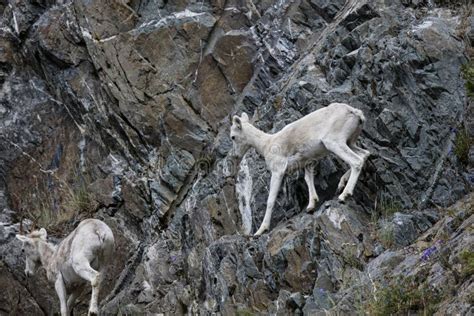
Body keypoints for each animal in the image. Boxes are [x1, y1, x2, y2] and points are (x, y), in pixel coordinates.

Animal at [230, 102, 370, 236]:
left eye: (233, 137)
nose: (235, 156)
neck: (266, 144)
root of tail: (356, 113)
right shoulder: (308, 162)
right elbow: (308, 180)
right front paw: (311, 206)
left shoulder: (278, 171)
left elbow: (270, 200)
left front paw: (260, 231)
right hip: (350, 142)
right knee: (365, 155)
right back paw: (341, 184)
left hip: (335, 143)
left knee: (356, 161)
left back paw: (344, 195)